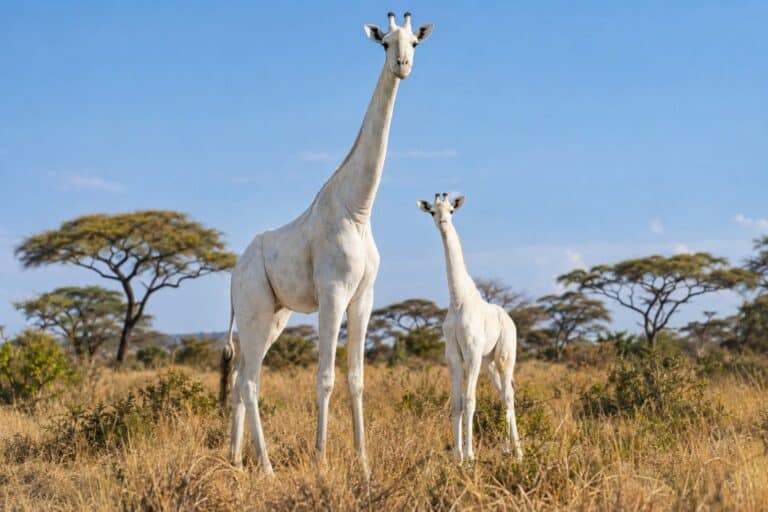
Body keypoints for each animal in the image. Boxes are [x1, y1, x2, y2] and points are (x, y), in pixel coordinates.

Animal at [224, 12, 434, 476]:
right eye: (384, 42)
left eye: (414, 41)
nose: (403, 65)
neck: (358, 208)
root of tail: (232, 275)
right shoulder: (332, 293)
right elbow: (325, 378)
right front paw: (320, 459)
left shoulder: (364, 297)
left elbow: (356, 378)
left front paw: (364, 463)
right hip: (254, 312)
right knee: (250, 382)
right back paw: (267, 468)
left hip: (273, 316)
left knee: (240, 377)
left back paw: (234, 459)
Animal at [417, 193, 523, 462]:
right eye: (432, 211)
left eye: (452, 210)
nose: (443, 222)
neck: (458, 299)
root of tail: (509, 318)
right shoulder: (453, 354)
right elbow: (457, 402)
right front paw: (457, 455)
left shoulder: (472, 352)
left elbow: (470, 400)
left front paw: (471, 454)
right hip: (489, 361)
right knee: (502, 394)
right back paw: (507, 448)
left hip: (505, 355)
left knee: (509, 396)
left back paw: (518, 452)